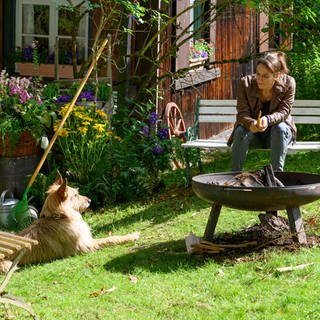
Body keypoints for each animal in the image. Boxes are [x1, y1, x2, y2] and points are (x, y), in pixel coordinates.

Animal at [0, 172, 140, 272]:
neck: (60, 217)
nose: (90, 200)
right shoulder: (85, 246)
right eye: (76, 195)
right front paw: (132, 235)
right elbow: (110, 239)